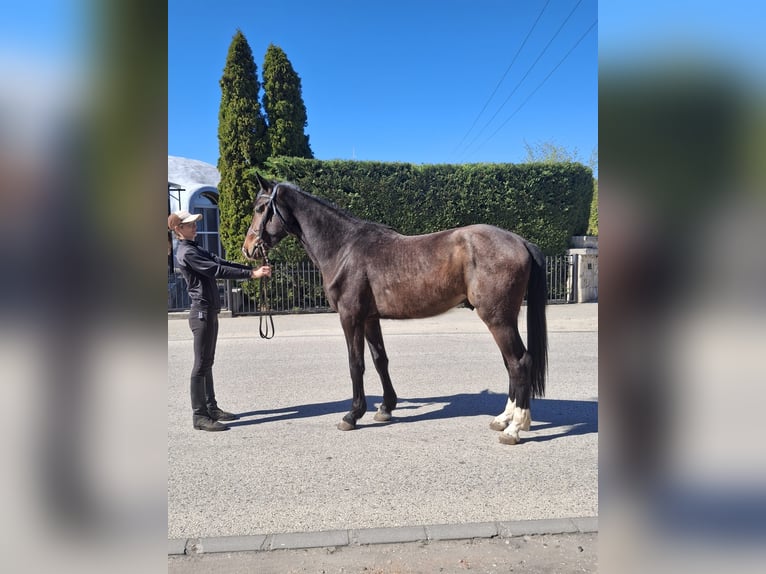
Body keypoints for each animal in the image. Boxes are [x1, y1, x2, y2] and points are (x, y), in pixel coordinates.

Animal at [242, 173, 548, 445]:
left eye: (260, 209)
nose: (248, 248)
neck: (345, 248)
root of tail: (521, 241)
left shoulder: (350, 317)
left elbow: (356, 364)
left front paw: (352, 415)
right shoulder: (369, 319)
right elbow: (380, 360)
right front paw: (386, 408)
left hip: (498, 319)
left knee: (519, 362)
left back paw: (515, 428)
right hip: (503, 319)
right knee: (511, 363)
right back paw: (503, 419)